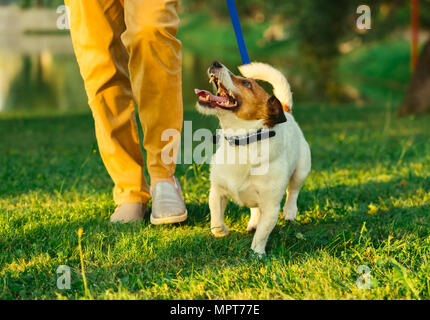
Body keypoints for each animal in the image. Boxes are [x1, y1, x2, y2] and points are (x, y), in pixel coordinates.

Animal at [194, 60, 310, 255]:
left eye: (247, 83)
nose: (215, 63)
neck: (242, 141)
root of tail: (286, 110)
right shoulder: (217, 191)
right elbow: (216, 217)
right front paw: (221, 231)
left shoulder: (271, 207)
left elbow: (263, 233)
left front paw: (257, 253)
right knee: (256, 209)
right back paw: (253, 222)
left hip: (302, 169)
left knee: (293, 190)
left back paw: (290, 212)